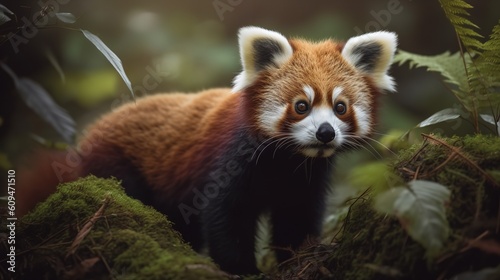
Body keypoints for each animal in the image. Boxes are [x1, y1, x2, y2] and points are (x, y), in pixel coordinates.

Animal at [16, 27, 398, 274]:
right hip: (117, 163)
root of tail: (89, 137)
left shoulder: (305, 179)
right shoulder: (228, 161)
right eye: (301, 106)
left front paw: (295, 260)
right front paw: (242, 270)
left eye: (340, 107)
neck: (285, 160)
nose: (325, 133)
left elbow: (297, 219)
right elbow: (225, 218)